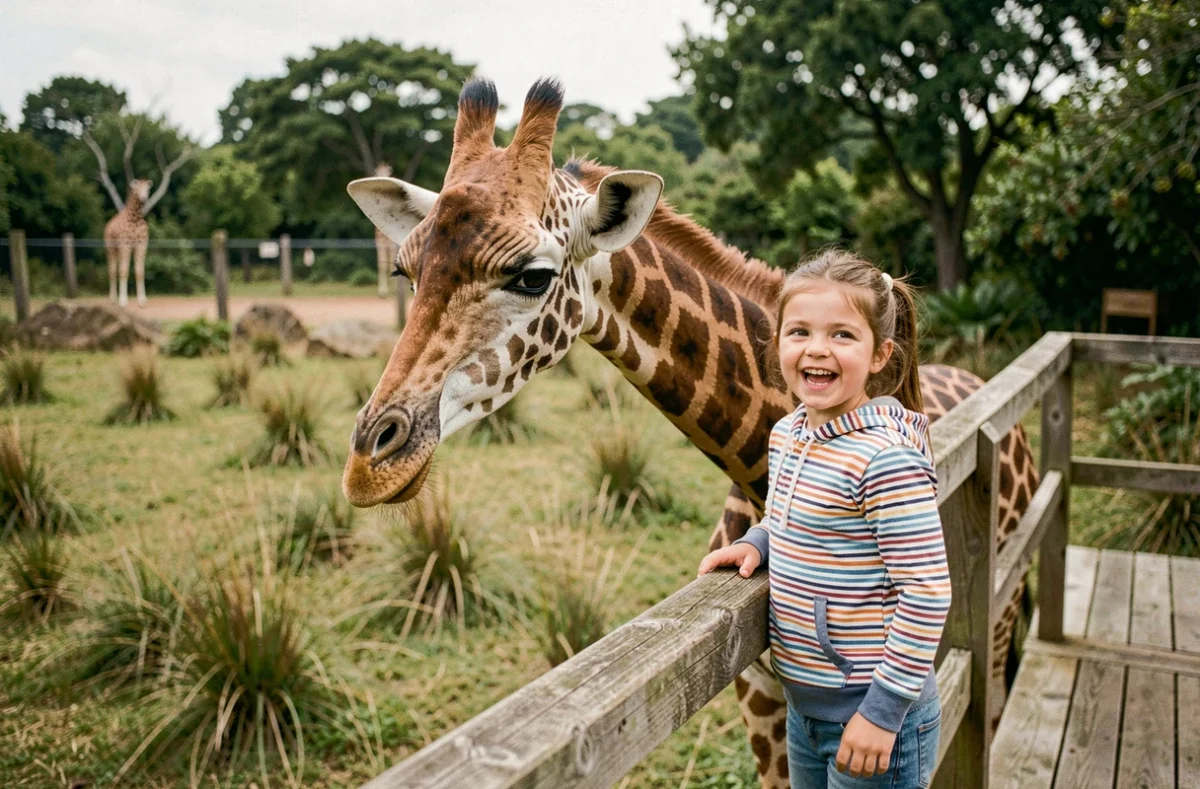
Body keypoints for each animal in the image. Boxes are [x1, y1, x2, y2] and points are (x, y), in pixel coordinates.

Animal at [103, 179, 152, 307]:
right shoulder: (125, 245)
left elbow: (140, 272)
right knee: (112, 270)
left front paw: (142, 301)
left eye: (147, 189)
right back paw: (113, 299)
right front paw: (123, 301)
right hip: (110, 248)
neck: (135, 218)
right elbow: (123, 271)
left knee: (116, 269)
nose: (144, 198)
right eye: (137, 189)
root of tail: (107, 226)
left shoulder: (141, 245)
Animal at [342, 78, 1038, 788]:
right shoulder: (760, 700)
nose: (370, 464)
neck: (756, 474)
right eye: (405, 272)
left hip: (1002, 601)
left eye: (532, 276)